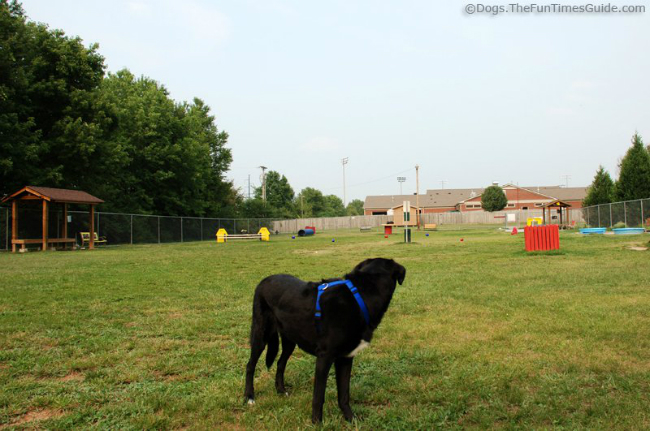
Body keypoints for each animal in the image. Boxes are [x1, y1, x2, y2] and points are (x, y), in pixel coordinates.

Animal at [243, 258, 404, 424]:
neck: (360, 298)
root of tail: (264, 280)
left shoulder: (346, 358)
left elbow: (344, 395)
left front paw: (350, 419)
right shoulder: (324, 357)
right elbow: (318, 396)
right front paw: (317, 423)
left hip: (290, 340)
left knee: (280, 363)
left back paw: (281, 391)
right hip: (260, 335)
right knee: (250, 365)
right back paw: (249, 397)